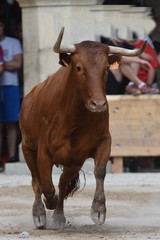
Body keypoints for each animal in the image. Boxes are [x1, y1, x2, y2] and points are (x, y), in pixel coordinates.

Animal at [19, 27, 146, 230]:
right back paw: (39, 214)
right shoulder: (43, 153)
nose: (98, 104)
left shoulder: (98, 144)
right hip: (27, 147)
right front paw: (47, 204)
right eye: (79, 68)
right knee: (36, 181)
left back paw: (59, 217)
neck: (74, 120)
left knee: (62, 183)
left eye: (106, 68)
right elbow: (46, 184)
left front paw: (98, 210)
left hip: (71, 161)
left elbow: (99, 171)